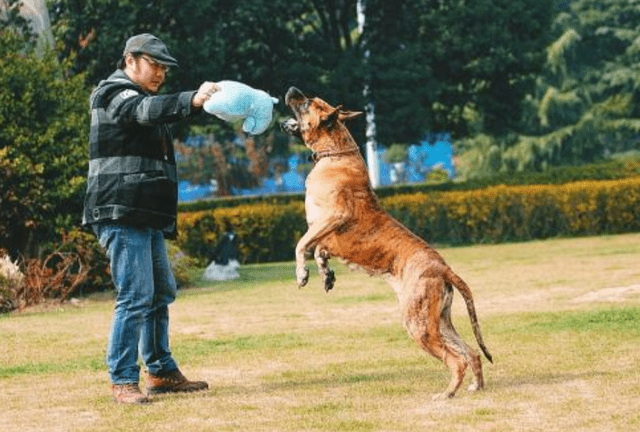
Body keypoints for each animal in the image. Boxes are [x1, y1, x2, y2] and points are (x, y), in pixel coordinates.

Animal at [280, 86, 496, 400]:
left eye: (307, 102)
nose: (292, 90)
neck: (334, 153)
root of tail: (443, 268)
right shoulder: (324, 234)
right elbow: (318, 249)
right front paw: (326, 275)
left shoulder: (332, 218)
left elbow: (301, 244)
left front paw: (302, 274)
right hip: (439, 320)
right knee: (471, 352)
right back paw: (475, 386)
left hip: (418, 324)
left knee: (456, 359)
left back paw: (446, 394)